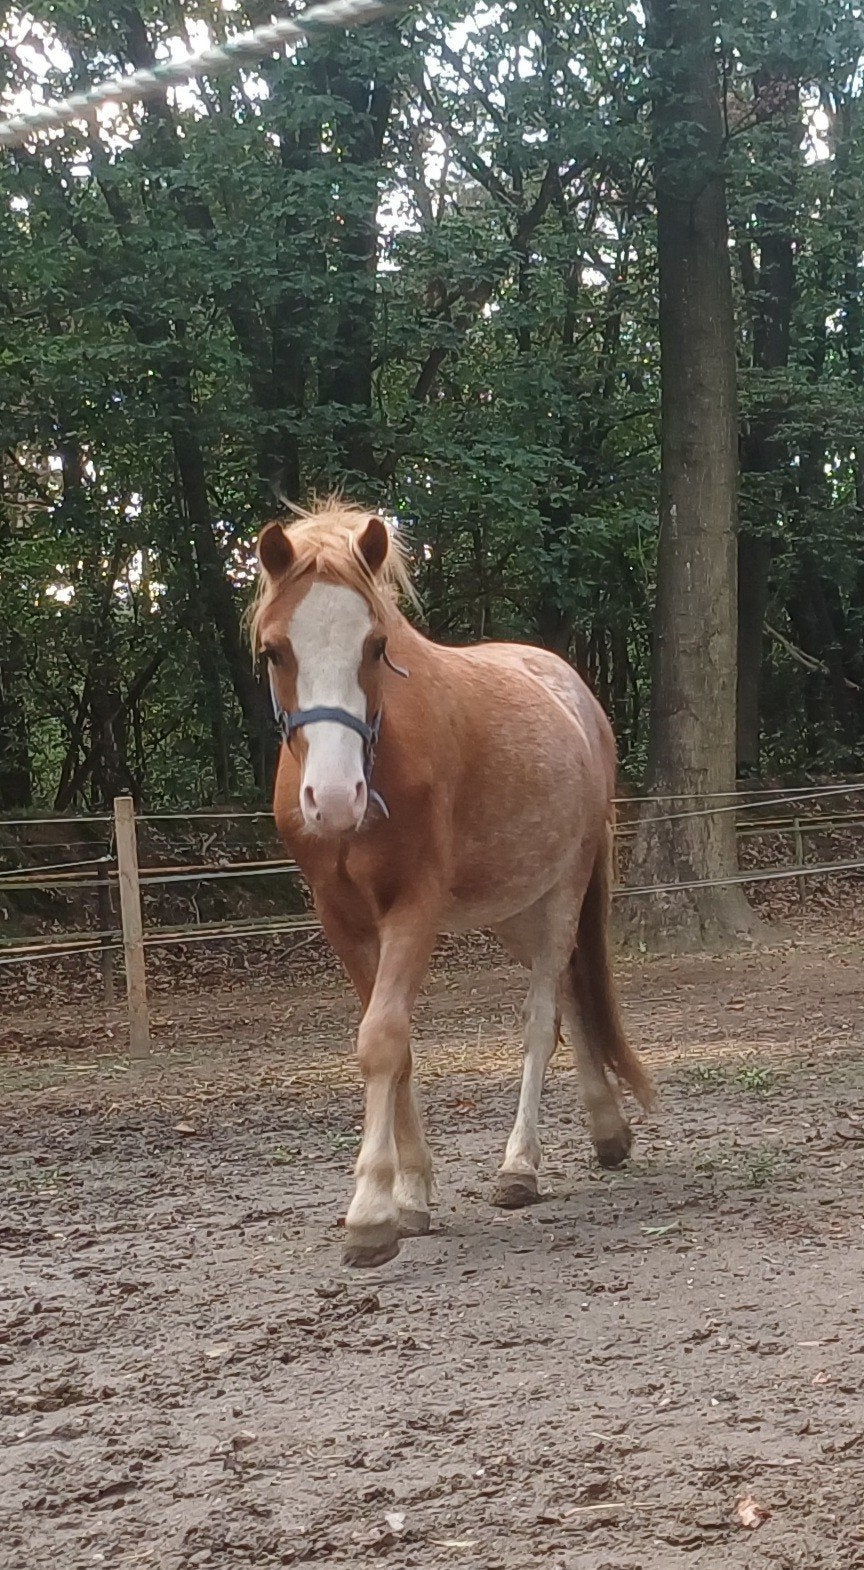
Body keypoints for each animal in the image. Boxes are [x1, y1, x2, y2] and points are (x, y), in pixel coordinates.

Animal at [251, 500, 654, 1267]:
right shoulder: (341, 918)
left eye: (376, 644)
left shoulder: (415, 907)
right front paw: (411, 1193)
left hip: (561, 896)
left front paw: (372, 1209)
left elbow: (383, 1038)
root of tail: (577, 697)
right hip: (514, 912)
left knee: (542, 1019)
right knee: (571, 995)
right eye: (274, 650)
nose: (335, 799)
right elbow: (395, 1046)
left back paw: (520, 1166)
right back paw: (606, 1128)